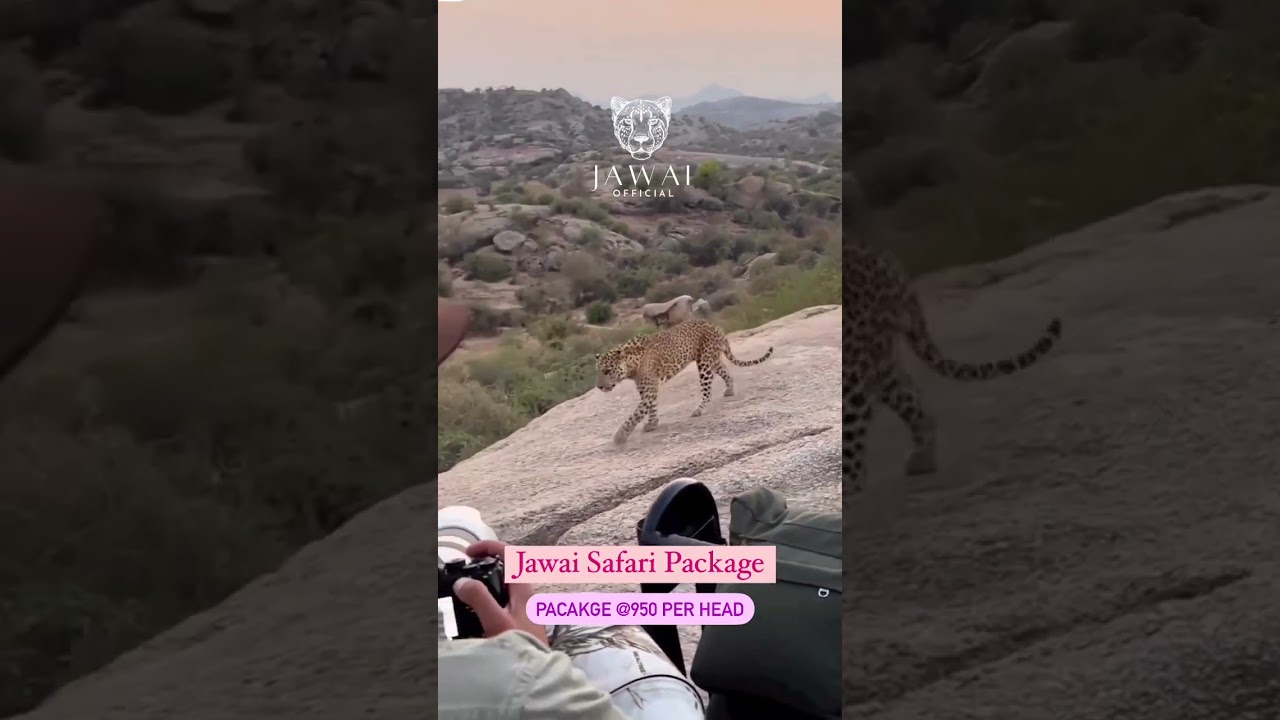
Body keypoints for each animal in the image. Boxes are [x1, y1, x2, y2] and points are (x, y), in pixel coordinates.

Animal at [595, 319, 773, 445]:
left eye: (607, 371)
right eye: (598, 371)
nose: (599, 386)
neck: (631, 365)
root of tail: (714, 325)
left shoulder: (649, 389)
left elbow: (636, 414)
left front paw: (620, 436)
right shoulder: (646, 389)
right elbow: (651, 407)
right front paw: (653, 424)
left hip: (704, 364)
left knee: (707, 391)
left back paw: (698, 410)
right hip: (713, 360)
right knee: (726, 372)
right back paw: (729, 390)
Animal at [842, 241, 1062, 496]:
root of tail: (887, 262)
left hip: (857, 363)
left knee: (857, 422)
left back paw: (850, 484)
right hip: (880, 360)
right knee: (911, 400)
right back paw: (922, 460)